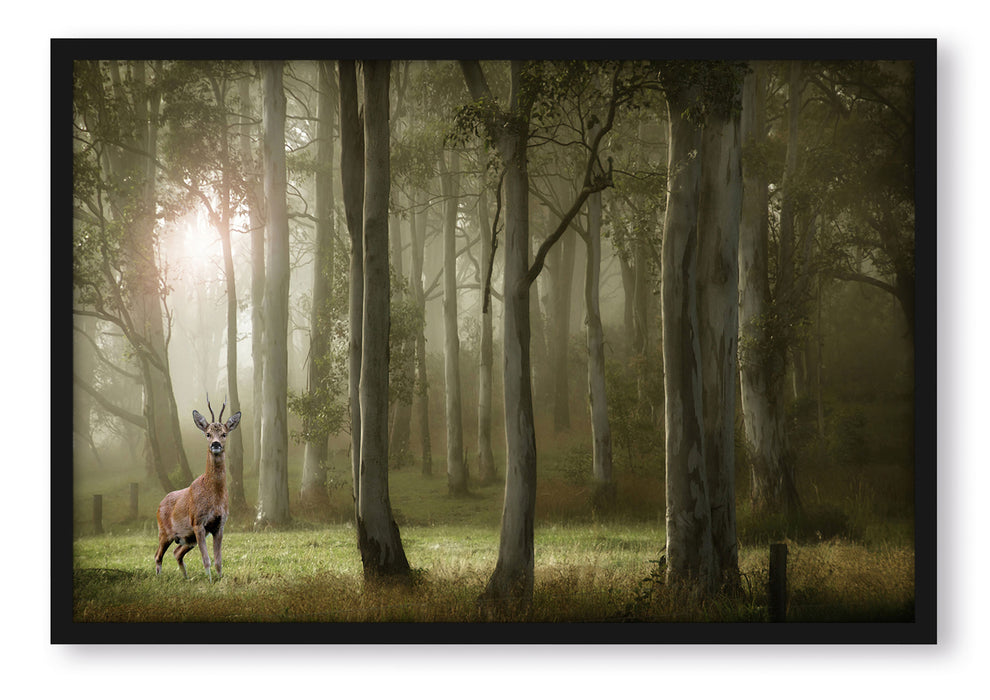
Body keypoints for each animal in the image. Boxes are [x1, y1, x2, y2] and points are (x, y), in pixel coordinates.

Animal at [154, 396, 241, 582]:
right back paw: (159, 578)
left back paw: (186, 578)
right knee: (158, 555)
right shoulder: (198, 522)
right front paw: (210, 581)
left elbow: (218, 560)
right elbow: (206, 559)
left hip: (187, 539)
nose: (215, 444)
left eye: (224, 434)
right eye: (208, 434)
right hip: (165, 532)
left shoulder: (219, 524)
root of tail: (159, 504)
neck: (214, 496)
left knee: (176, 553)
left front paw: (219, 578)